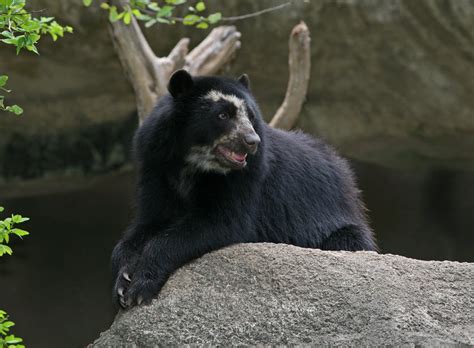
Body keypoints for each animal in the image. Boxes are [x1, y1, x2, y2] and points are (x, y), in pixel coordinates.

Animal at [111, 69, 378, 308]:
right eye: (222, 115)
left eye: (250, 116)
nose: (252, 141)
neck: (192, 162)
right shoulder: (155, 165)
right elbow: (148, 222)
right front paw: (124, 279)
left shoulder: (247, 178)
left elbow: (220, 221)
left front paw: (141, 286)